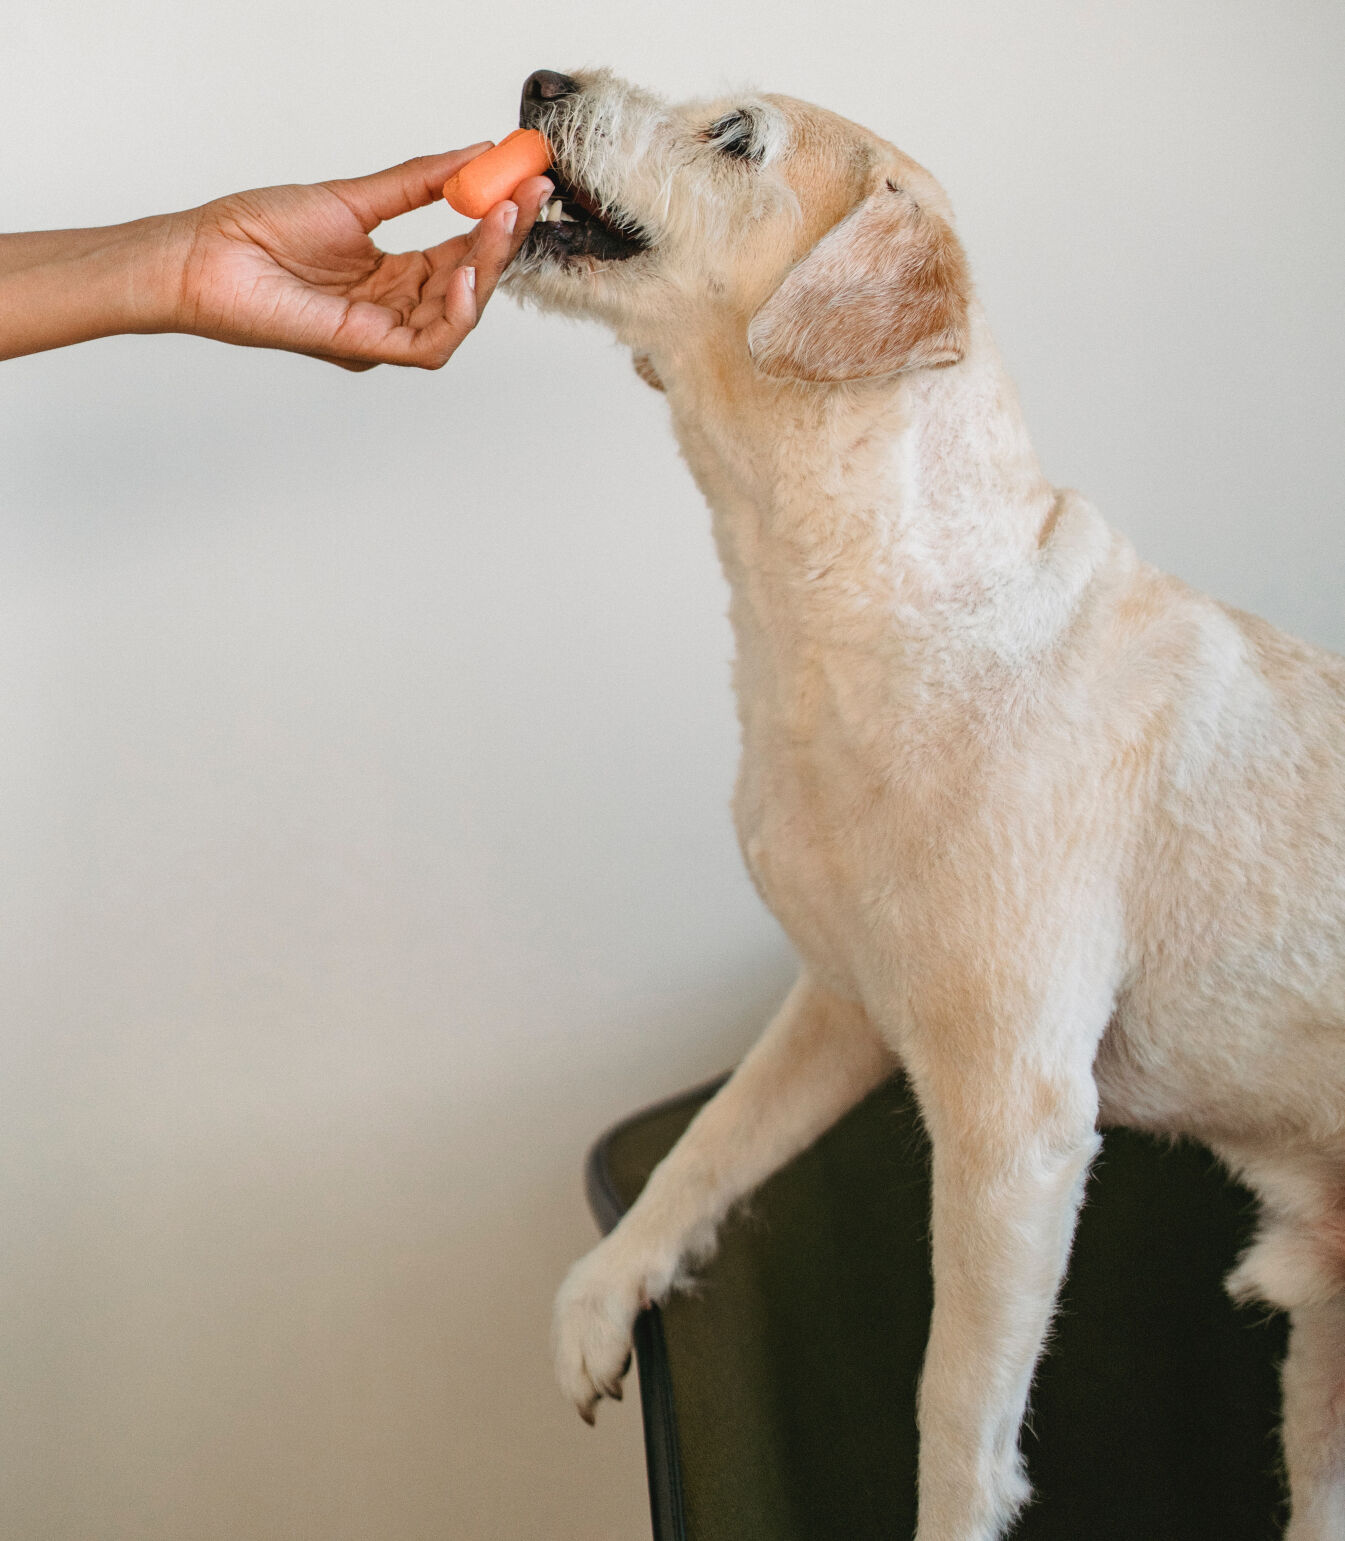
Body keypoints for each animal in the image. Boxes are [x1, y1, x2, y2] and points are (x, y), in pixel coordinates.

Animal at [499, 66, 1343, 1534]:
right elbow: (703, 1146)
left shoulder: (1012, 1126)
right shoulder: (837, 999)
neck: (862, 615)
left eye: (737, 136)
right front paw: (603, 1297)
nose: (543, 79)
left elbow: (955, 1403)